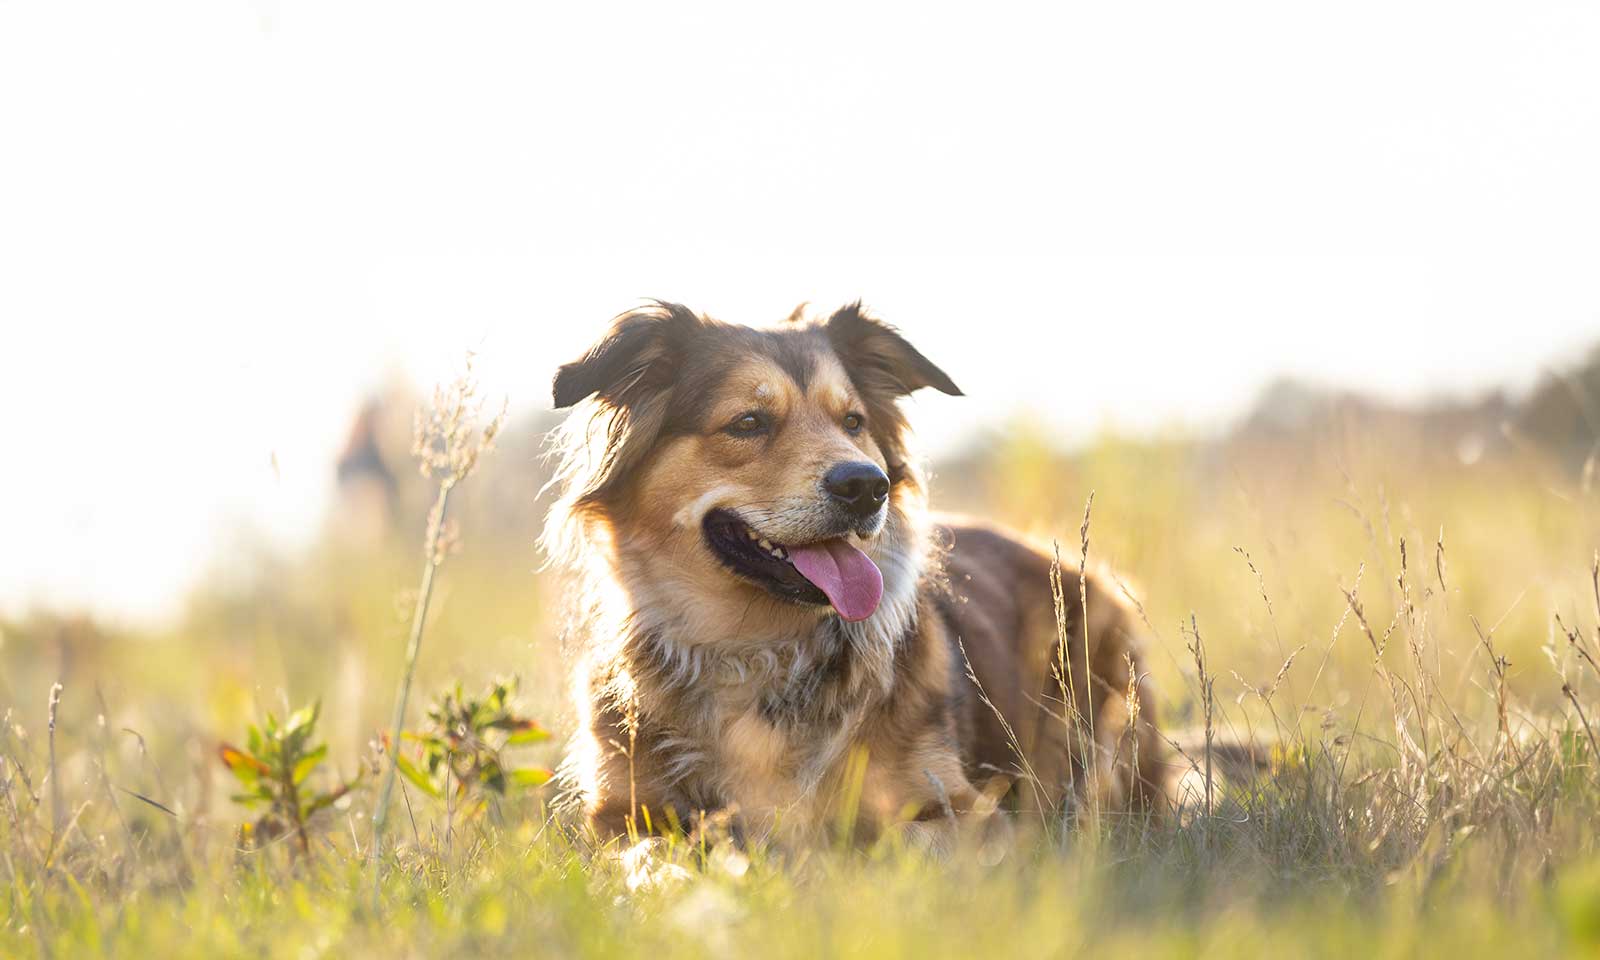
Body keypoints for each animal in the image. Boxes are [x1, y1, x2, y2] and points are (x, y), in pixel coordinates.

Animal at [547, 300, 1177, 844]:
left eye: (852, 421)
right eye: (748, 422)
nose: (866, 485)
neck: (756, 647)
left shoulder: (968, 813)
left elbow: (885, 842)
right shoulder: (620, 817)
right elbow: (660, 855)